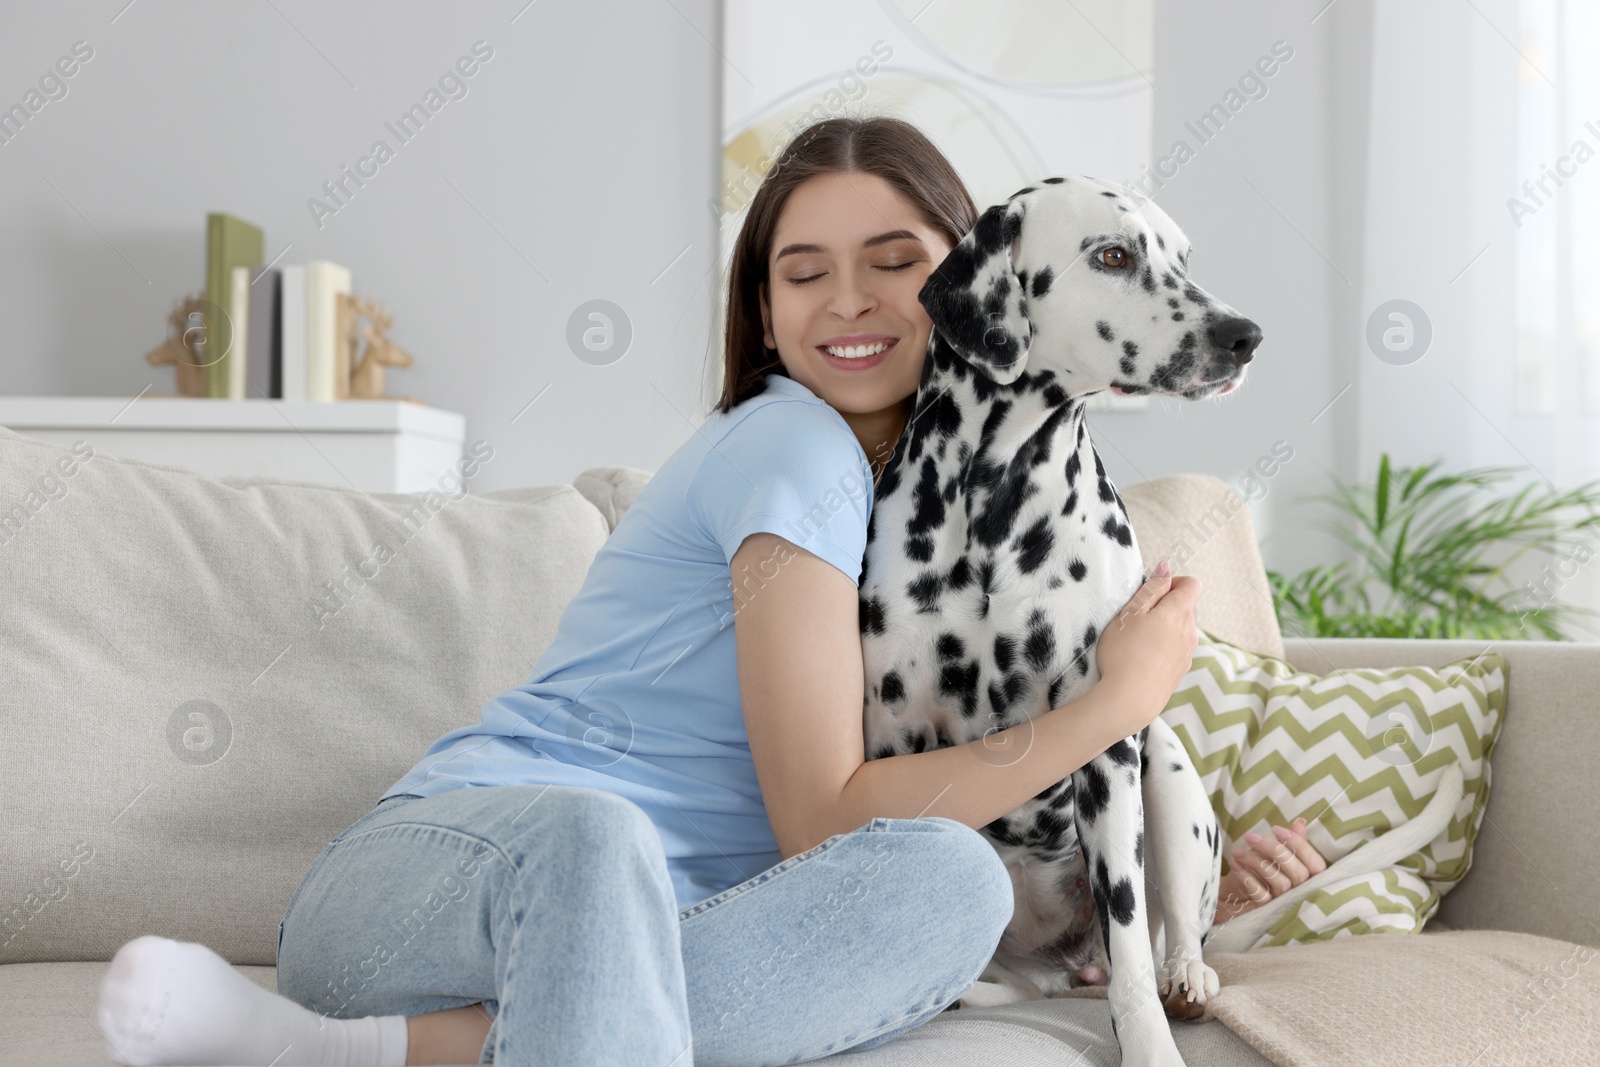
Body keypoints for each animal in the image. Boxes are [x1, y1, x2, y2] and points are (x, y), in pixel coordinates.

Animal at [864, 177, 1260, 1067]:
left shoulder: (1108, 748)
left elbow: (1131, 948)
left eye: (1183, 257)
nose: (1246, 334)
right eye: (1112, 255)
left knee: (1170, 934)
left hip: (1168, 774)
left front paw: (1150, 1044)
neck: (997, 499)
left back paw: (1188, 976)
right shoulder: (894, 738)